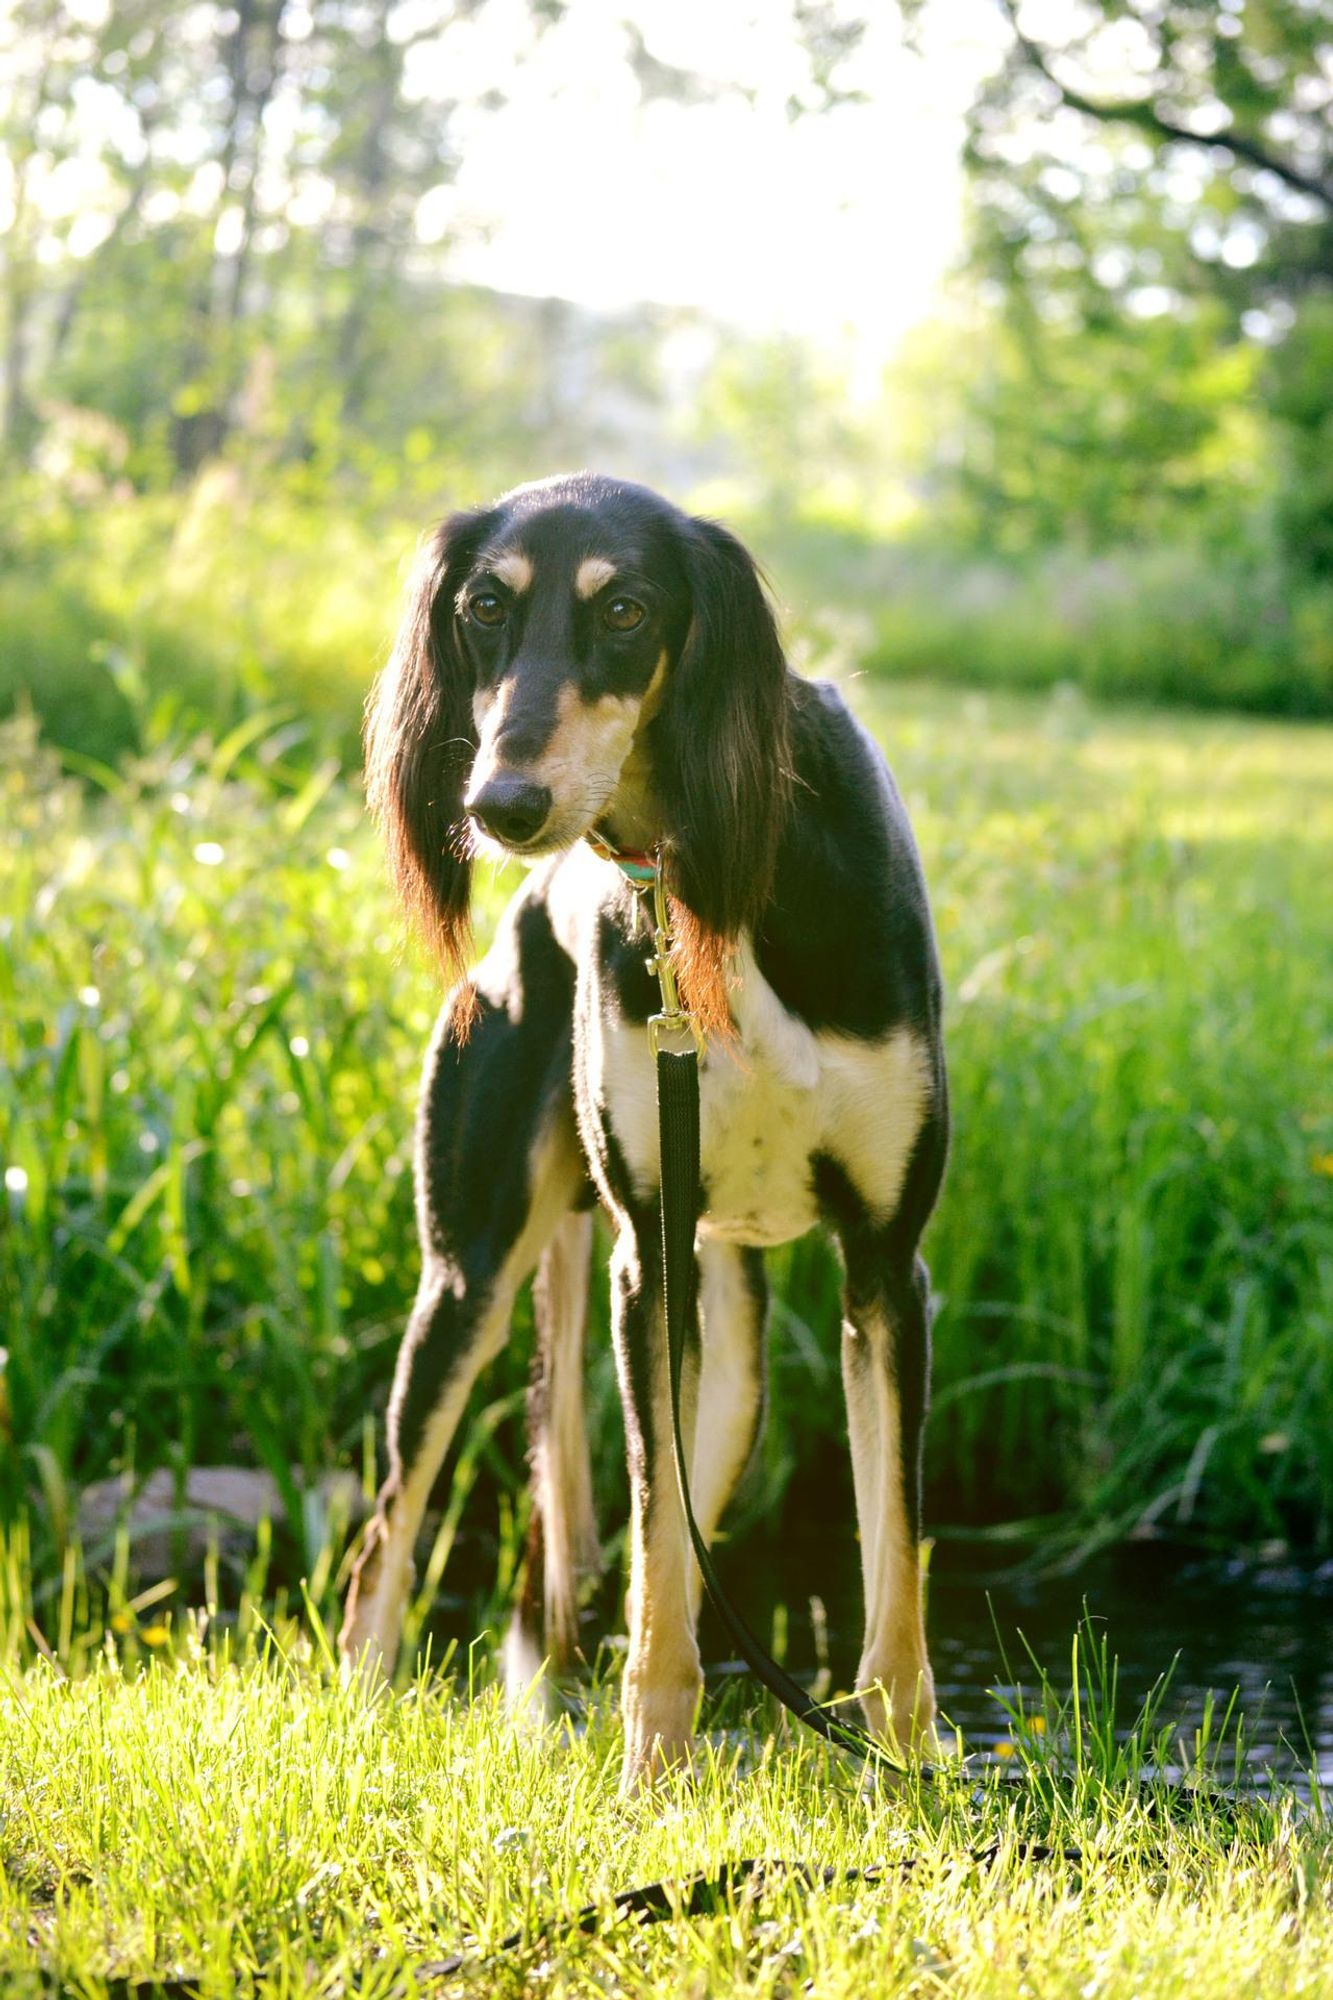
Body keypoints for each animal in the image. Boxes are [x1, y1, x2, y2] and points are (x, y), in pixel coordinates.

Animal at [342, 472, 944, 1800]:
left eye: (625, 608)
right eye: (482, 605)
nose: (500, 805)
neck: (713, 879)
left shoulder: (886, 1267)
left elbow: (891, 1559)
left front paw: (904, 1771)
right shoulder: (645, 1255)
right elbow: (663, 1573)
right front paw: (649, 1785)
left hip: (725, 1376)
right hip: (469, 1277)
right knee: (389, 1536)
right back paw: (357, 1720)